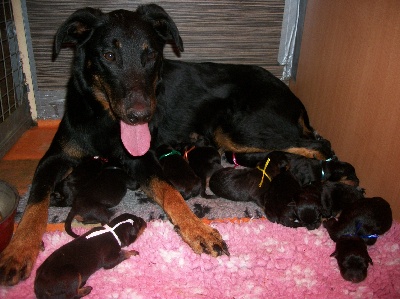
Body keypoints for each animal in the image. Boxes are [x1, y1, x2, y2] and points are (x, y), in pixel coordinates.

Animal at [0, 4, 332, 286]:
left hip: (240, 130)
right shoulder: (53, 159)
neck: (105, 117)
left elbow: (170, 191)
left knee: (320, 145)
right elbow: (34, 205)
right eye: (109, 56)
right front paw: (19, 250)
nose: (141, 116)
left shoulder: (143, 159)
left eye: (150, 55)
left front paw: (197, 228)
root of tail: (289, 92)